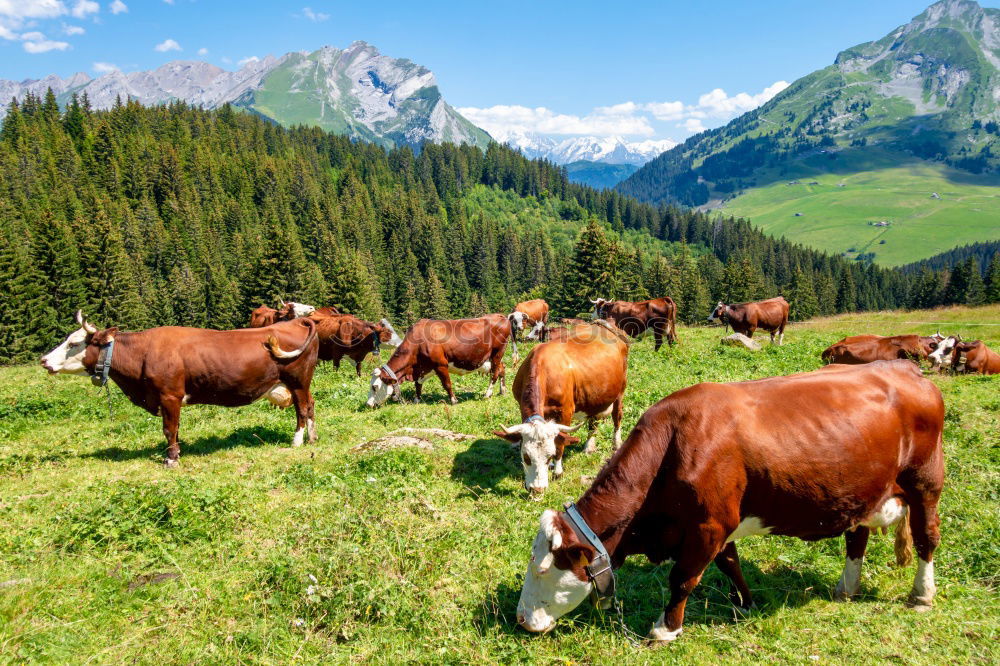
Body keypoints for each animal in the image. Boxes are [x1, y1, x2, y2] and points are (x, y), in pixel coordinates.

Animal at [41, 310, 316, 462]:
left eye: (73, 343)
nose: (44, 360)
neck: (143, 353)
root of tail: (294, 322)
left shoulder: (169, 395)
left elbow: (168, 428)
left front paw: (171, 458)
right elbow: (176, 428)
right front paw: (177, 451)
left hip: (297, 381)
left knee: (302, 409)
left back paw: (297, 441)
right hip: (301, 383)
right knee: (311, 406)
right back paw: (312, 438)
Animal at [366, 314, 512, 408]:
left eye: (375, 387)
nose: (368, 404)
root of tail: (500, 316)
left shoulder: (440, 364)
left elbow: (447, 384)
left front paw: (453, 400)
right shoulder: (422, 368)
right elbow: (418, 384)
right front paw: (416, 399)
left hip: (497, 353)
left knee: (494, 373)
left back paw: (488, 394)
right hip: (491, 358)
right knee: (502, 368)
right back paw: (502, 391)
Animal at [490, 322, 624, 492]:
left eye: (549, 456)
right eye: (526, 457)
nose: (537, 489)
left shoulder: (565, 411)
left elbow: (560, 442)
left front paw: (558, 471)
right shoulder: (522, 406)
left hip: (620, 391)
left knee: (617, 417)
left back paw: (616, 444)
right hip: (595, 397)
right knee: (593, 421)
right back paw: (589, 446)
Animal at [520, 360, 940, 640]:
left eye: (542, 569)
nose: (522, 619)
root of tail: (905, 367)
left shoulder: (708, 525)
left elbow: (683, 578)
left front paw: (665, 629)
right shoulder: (718, 523)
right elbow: (730, 563)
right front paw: (746, 602)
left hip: (925, 483)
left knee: (926, 538)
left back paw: (921, 596)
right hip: (862, 491)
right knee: (857, 537)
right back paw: (846, 588)